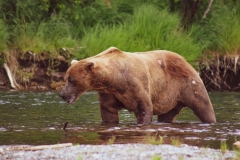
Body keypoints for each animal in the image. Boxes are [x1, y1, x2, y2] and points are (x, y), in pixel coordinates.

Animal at [59, 47, 217, 124]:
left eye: (72, 79)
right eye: (65, 78)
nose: (62, 94)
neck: (114, 78)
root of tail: (185, 59)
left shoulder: (135, 85)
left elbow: (144, 107)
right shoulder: (108, 93)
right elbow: (108, 112)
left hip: (188, 84)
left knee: (203, 106)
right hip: (171, 99)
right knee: (167, 115)